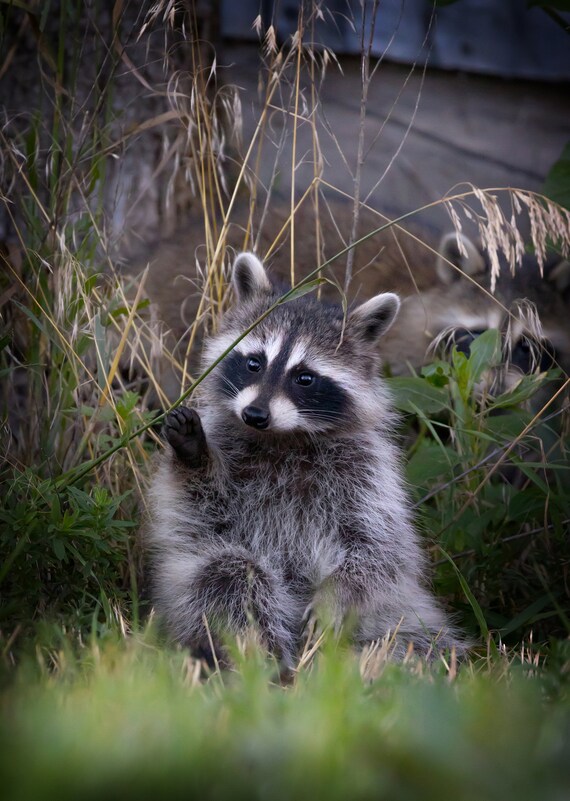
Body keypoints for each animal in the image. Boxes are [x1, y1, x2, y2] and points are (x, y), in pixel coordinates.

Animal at [147, 251, 465, 666]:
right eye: (254, 363)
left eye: (305, 378)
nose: (255, 414)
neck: (283, 438)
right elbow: (204, 507)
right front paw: (193, 452)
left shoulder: (366, 473)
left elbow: (376, 548)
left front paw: (337, 594)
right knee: (229, 576)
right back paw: (262, 658)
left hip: (398, 615)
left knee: (416, 643)